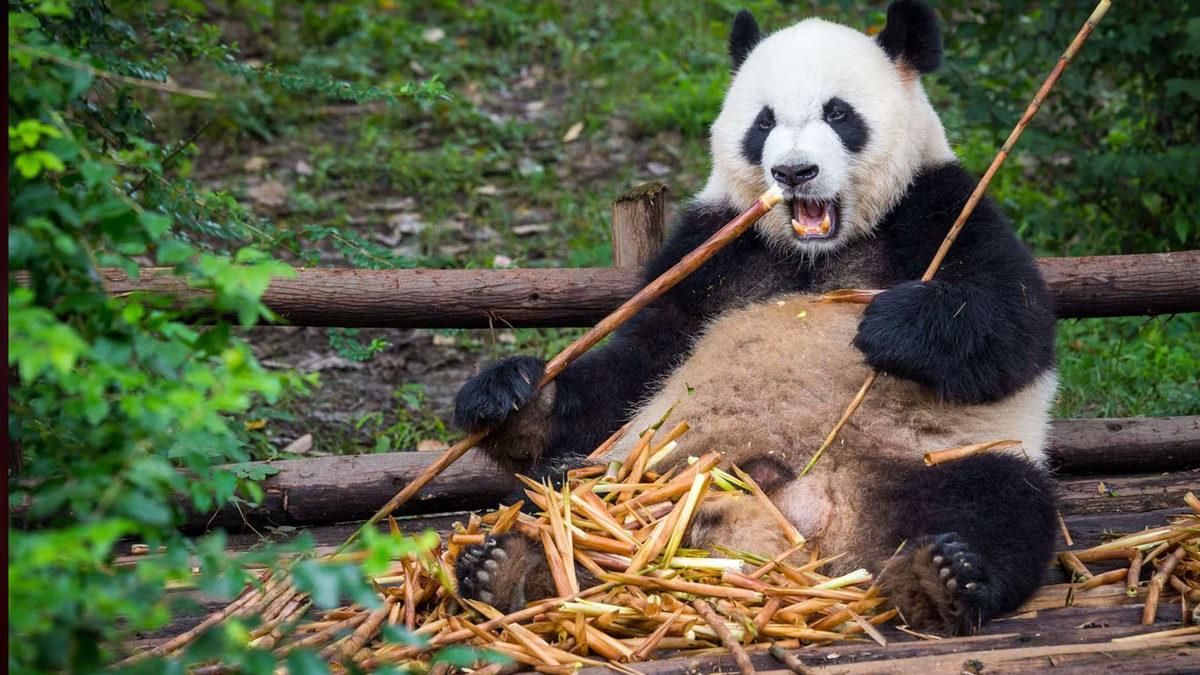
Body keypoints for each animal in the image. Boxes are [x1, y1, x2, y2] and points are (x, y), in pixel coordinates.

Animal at [451, 0, 1059, 636]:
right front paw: (510, 395)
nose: (793, 172)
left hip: (929, 458)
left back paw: (943, 577)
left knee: (999, 502)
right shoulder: (711, 247)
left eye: (838, 113)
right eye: (763, 123)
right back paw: (510, 567)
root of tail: (799, 521)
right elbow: (638, 362)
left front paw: (886, 326)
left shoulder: (941, 204)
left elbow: (1013, 324)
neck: (815, 253)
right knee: (558, 494)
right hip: (648, 468)